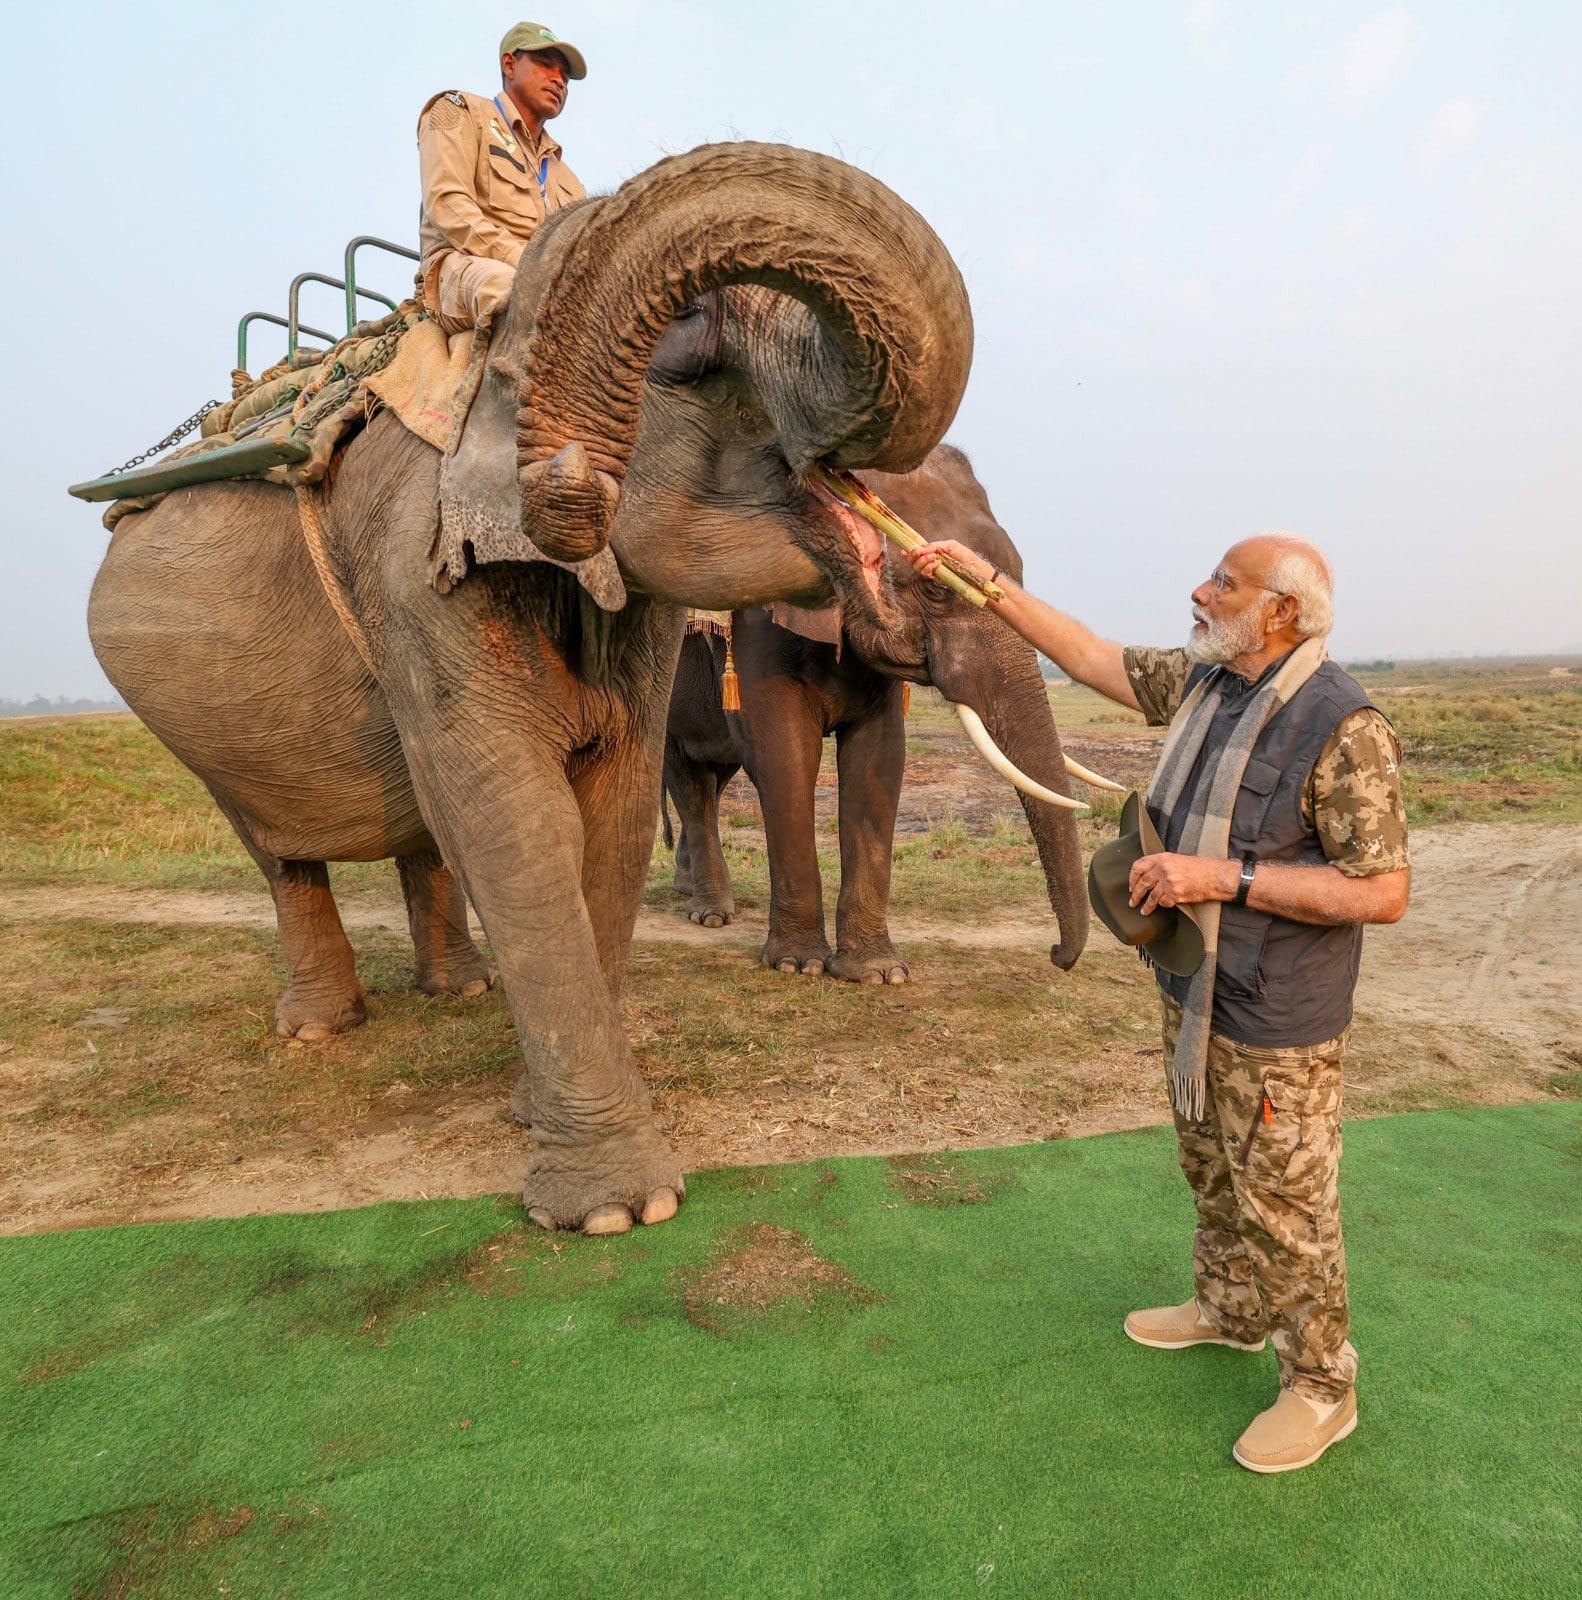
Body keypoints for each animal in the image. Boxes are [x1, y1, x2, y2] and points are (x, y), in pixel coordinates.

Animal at [92, 140, 972, 1235]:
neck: (492, 352)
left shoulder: (634, 608)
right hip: (189, 716)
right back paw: (320, 1030)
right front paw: (617, 1212)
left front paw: (533, 1117)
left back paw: (459, 993)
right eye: (689, 333)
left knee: (421, 830)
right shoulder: (411, 570)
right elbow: (513, 813)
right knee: (278, 847)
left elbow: (615, 806)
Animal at [662, 444, 1100, 979]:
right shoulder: (760, 620)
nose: (1056, 955)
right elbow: (784, 755)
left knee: (713, 778)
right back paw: (711, 915)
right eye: (937, 589)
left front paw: (876, 973)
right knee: (685, 777)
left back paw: (690, 891)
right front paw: (797, 966)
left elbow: (880, 757)